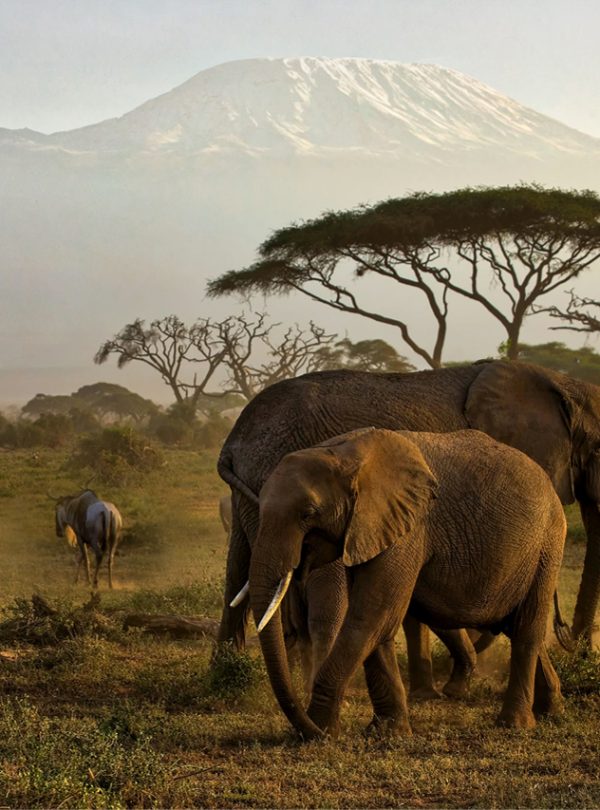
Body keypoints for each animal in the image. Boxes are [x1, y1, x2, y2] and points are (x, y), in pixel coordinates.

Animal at [218, 360, 600, 696]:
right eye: (599, 449)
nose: (574, 641)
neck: (563, 385)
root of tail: (232, 441)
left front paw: (430, 688)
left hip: (250, 497)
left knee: (238, 573)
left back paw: (228, 680)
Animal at [250, 430, 568, 740]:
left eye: (308, 513)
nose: (307, 732)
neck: (344, 452)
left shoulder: (406, 531)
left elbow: (371, 617)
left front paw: (321, 730)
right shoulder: (370, 530)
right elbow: (378, 623)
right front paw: (386, 732)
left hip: (547, 545)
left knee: (526, 629)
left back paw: (515, 724)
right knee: (513, 625)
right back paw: (551, 711)